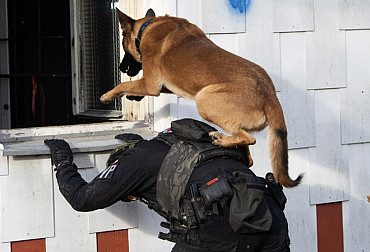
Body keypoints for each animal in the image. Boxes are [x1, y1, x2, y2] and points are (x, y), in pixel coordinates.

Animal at [99, 8, 302, 187]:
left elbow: (123, 85)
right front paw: (132, 96)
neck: (148, 26)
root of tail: (270, 94)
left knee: (248, 138)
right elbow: (132, 88)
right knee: (248, 153)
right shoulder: (164, 86)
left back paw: (221, 139)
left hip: (204, 100)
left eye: (123, 46)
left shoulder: (150, 84)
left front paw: (107, 96)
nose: (121, 68)